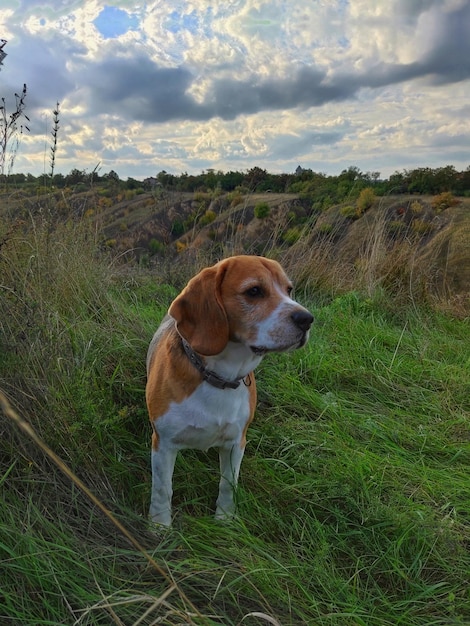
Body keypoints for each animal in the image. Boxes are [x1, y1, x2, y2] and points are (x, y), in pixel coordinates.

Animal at [145, 254, 314, 520]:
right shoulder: (163, 442)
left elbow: (228, 485)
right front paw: (159, 524)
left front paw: (224, 520)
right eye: (254, 291)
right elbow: (163, 489)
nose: (307, 319)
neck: (218, 376)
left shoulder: (236, 443)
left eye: (289, 290)